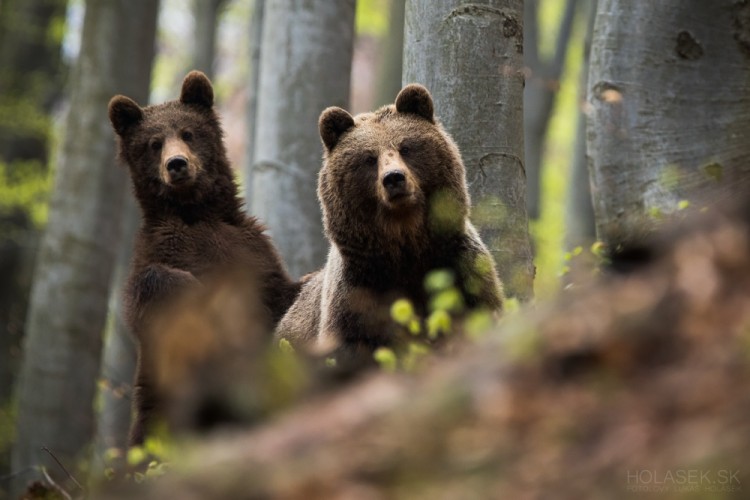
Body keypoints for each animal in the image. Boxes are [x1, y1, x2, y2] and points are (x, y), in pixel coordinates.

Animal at [109, 71, 302, 446]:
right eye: (154, 142)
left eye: (188, 132)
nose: (177, 164)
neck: (195, 212)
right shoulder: (161, 250)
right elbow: (152, 291)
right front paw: (193, 290)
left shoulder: (251, 251)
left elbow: (280, 293)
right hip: (157, 409)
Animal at [278, 84, 506, 370]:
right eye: (368, 157)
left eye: (406, 146)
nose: (394, 178)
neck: (405, 242)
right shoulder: (357, 294)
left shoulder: (460, 268)